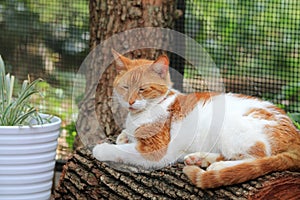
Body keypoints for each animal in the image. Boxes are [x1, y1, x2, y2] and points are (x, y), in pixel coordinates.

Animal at [93, 49, 300, 188]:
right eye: (125, 87)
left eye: (143, 89)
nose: (130, 101)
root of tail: (295, 132)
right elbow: (125, 136)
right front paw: (123, 135)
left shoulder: (156, 151)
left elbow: (120, 150)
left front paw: (102, 149)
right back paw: (200, 159)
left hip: (232, 129)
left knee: (257, 156)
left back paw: (219, 166)